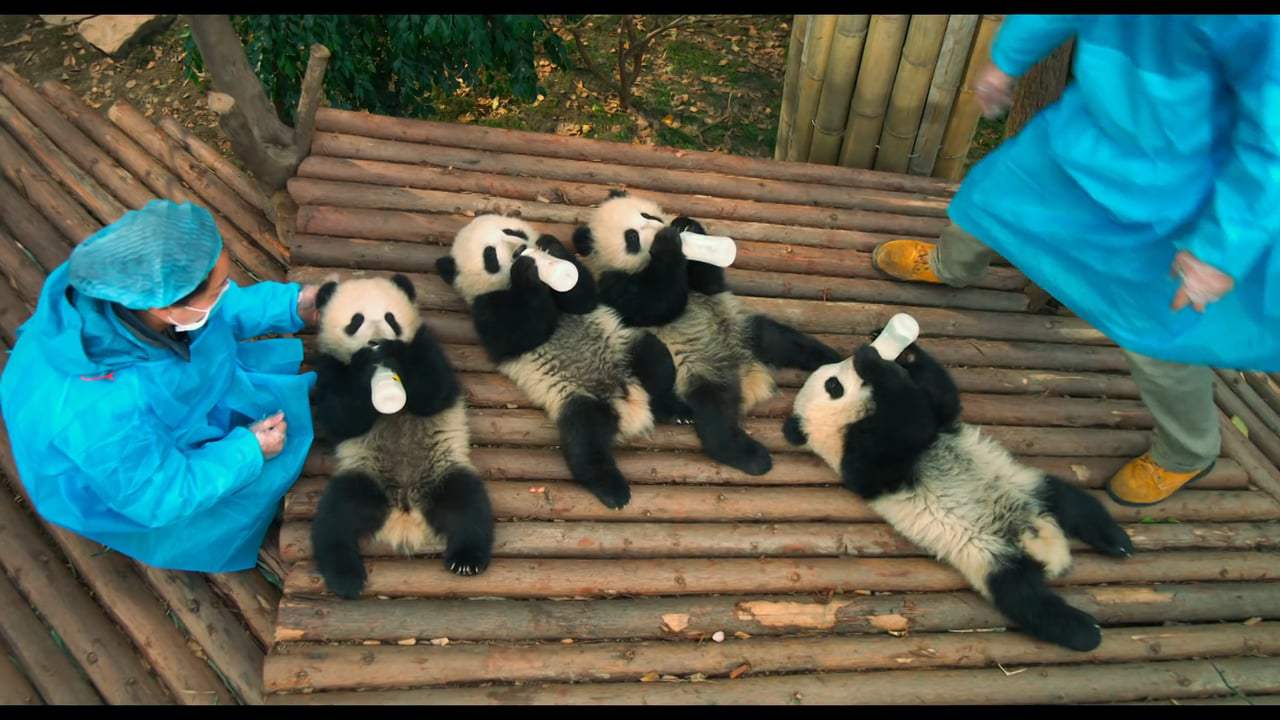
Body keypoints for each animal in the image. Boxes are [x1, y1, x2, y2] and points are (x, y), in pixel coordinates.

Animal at [310, 275, 494, 598]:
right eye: (356, 320)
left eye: (390, 318)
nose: (376, 343)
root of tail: (405, 511)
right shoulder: (328, 367)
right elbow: (340, 420)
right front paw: (363, 364)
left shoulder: (426, 346)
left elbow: (433, 392)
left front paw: (392, 353)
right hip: (364, 475)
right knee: (335, 520)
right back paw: (345, 577)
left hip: (443, 471)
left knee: (468, 506)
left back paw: (466, 560)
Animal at [436, 214, 686, 510]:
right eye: (490, 255)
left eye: (511, 230)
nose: (520, 250)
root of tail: (626, 403)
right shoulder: (486, 310)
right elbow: (521, 333)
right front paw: (526, 271)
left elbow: (582, 297)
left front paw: (550, 245)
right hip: (574, 397)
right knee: (584, 438)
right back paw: (612, 489)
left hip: (624, 347)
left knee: (656, 363)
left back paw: (674, 408)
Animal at [571, 191, 841, 476]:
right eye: (631, 238)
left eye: (647, 214)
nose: (660, 228)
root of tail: (746, 371)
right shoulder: (613, 287)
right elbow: (656, 305)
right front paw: (667, 243)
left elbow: (708, 283)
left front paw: (687, 226)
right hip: (699, 371)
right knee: (715, 416)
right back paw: (752, 457)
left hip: (744, 329)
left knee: (785, 341)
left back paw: (832, 358)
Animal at [782, 338, 1135, 651]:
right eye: (833, 385)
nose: (853, 358)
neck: (847, 424)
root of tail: (1042, 548)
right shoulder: (864, 462)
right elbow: (909, 423)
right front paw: (878, 364)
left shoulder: (940, 426)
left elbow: (942, 401)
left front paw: (899, 350)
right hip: (989, 561)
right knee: (1027, 601)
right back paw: (1086, 632)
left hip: (1028, 485)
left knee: (1076, 505)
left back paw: (1119, 543)